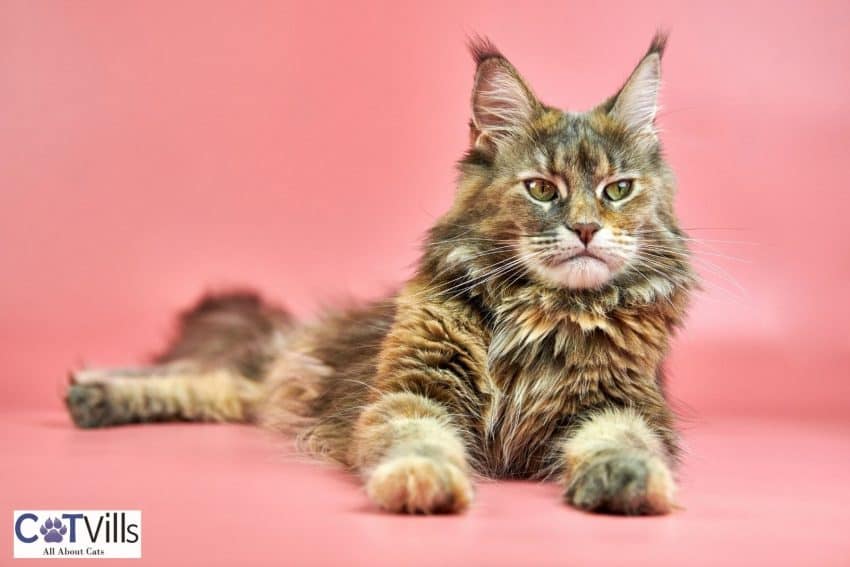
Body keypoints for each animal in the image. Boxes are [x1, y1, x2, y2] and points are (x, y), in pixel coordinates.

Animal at [66, 33, 692, 516]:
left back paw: (94, 396)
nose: (586, 229)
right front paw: (424, 482)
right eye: (541, 189)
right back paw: (89, 390)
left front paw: (628, 481)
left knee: (224, 385)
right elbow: (420, 441)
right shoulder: (412, 388)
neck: (543, 312)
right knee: (208, 370)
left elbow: (622, 441)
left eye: (618, 190)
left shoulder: (622, 402)